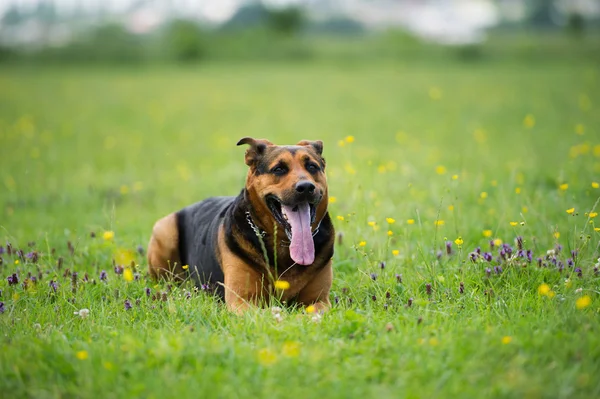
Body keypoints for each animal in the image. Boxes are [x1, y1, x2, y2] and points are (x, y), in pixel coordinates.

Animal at [145, 139, 332, 314]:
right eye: (279, 169)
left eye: (312, 167)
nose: (306, 187)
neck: (283, 243)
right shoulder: (242, 300)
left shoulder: (320, 300)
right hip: (164, 230)